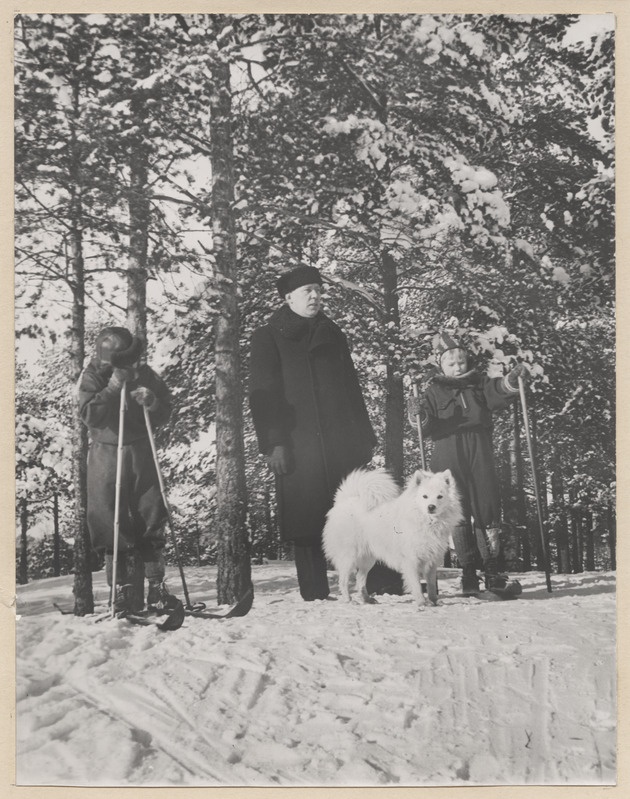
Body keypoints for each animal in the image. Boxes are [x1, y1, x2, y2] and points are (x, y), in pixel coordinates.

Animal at [324, 468, 462, 608]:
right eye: (425, 496)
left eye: (440, 496)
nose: (431, 507)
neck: (427, 522)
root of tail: (345, 500)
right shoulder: (411, 560)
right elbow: (417, 584)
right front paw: (421, 602)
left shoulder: (432, 559)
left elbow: (432, 585)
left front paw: (434, 601)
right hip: (349, 557)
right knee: (343, 580)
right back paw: (349, 600)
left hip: (367, 559)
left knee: (360, 579)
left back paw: (367, 599)